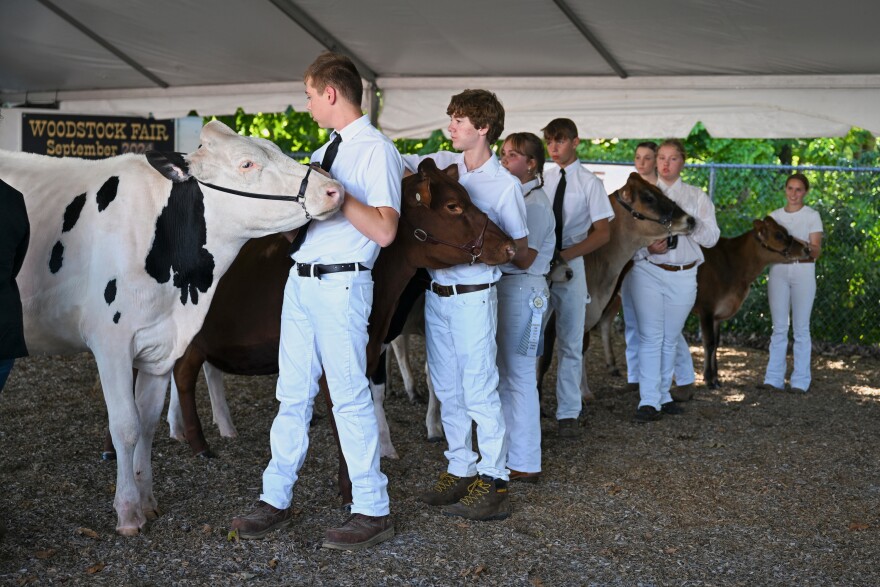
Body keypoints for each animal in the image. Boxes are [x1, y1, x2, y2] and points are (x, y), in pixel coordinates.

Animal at [0, 123, 342, 536]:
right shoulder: (110, 342)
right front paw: (128, 512)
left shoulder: (161, 346)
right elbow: (126, 425)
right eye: (247, 163)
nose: (333, 190)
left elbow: (147, 422)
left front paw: (147, 501)